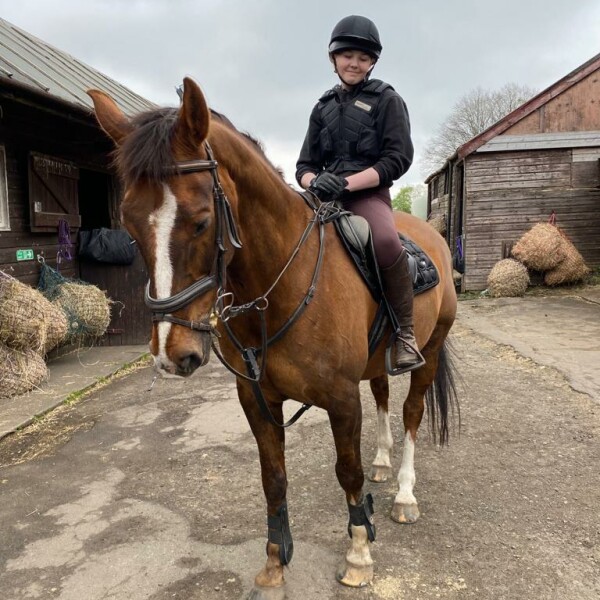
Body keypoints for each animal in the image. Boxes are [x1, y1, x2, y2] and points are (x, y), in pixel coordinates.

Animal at [86, 76, 458, 596]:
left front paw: (359, 553)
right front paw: (276, 561)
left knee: (410, 412)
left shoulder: (342, 399)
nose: (171, 354)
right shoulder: (257, 399)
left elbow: (348, 473)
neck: (284, 283)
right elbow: (273, 478)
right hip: (376, 361)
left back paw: (404, 492)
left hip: (430, 348)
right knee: (385, 396)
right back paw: (385, 465)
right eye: (130, 224)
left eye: (201, 221)